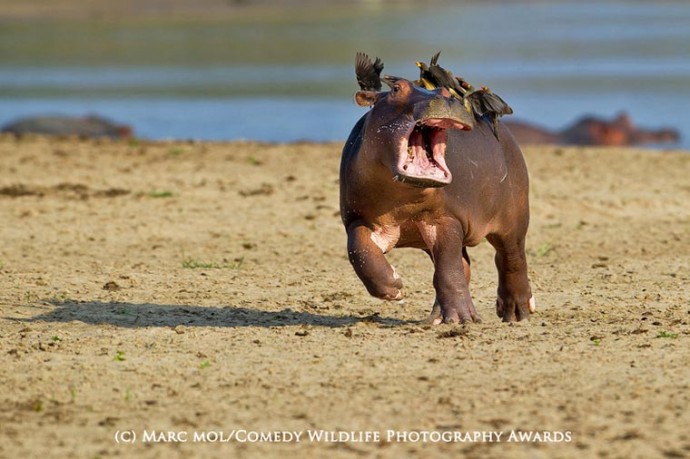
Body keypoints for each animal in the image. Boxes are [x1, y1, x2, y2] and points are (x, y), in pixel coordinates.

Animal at [338, 55, 532, 326]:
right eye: (396, 89)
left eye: (444, 91)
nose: (446, 99)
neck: (403, 198)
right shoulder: (359, 218)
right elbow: (359, 250)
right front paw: (393, 287)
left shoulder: (446, 218)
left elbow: (449, 268)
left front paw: (462, 319)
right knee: (465, 265)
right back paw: (436, 318)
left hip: (514, 218)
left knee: (511, 259)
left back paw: (516, 313)